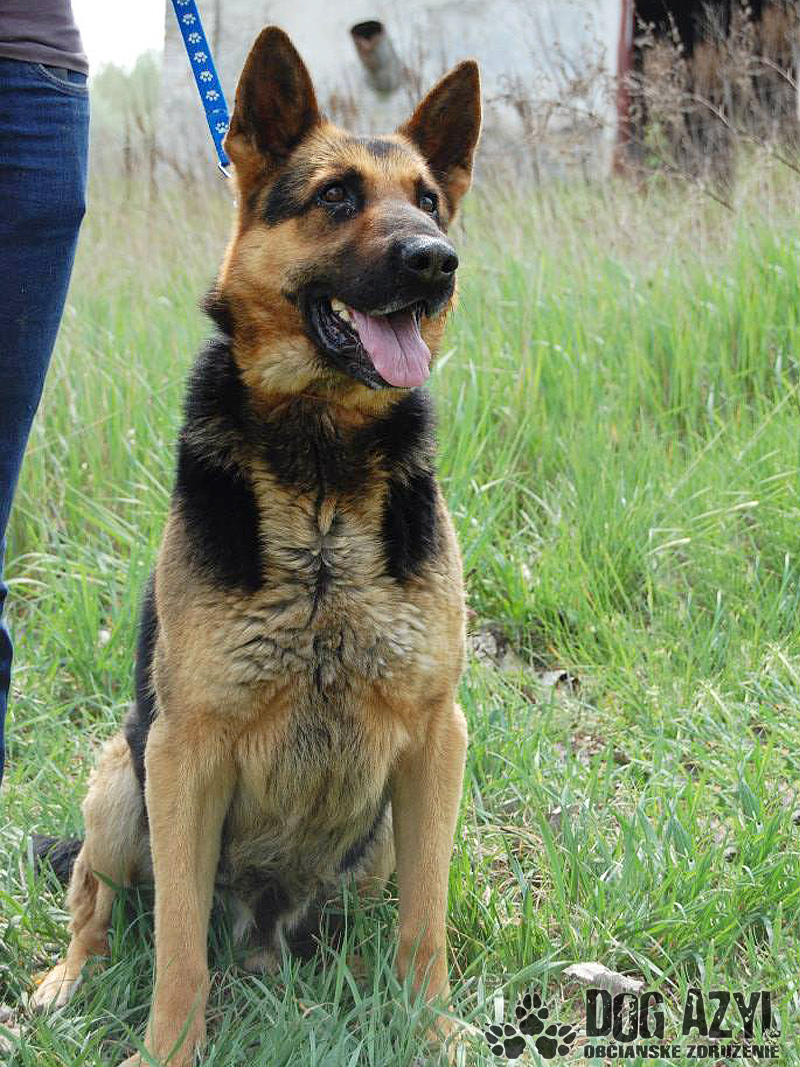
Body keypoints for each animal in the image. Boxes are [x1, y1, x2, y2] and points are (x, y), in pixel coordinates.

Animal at [30, 26, 481, 1067]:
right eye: (338, 197)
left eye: (429, 201)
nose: (436, 260)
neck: (321, 467)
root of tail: (268, 931)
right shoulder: (184, 753)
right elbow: (177, 950)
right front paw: (166, 1051)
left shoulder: (436, 740)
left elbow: (426, 920)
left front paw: (431, 1027)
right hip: (121, 781)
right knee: (96, 894)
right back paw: (67, 978)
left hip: (377, 839)